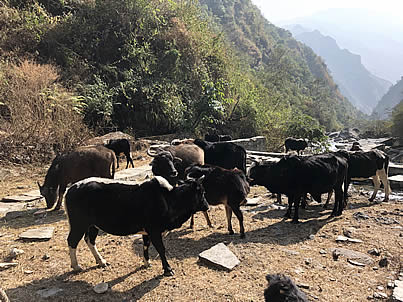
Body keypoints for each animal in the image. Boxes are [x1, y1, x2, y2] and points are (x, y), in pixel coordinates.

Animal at [65, 175, 208, 276]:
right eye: (201, 193)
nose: (207, 206)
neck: (168, 199)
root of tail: (71, 189)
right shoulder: (154, 230)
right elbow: (161, 249)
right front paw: (168, 269)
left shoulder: (147, 231)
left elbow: (146, 245)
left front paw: (147, 262)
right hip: (78, 224)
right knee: (72, 241)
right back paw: (76, 266)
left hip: (93, 225)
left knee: (90, 240)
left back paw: (101, 261)